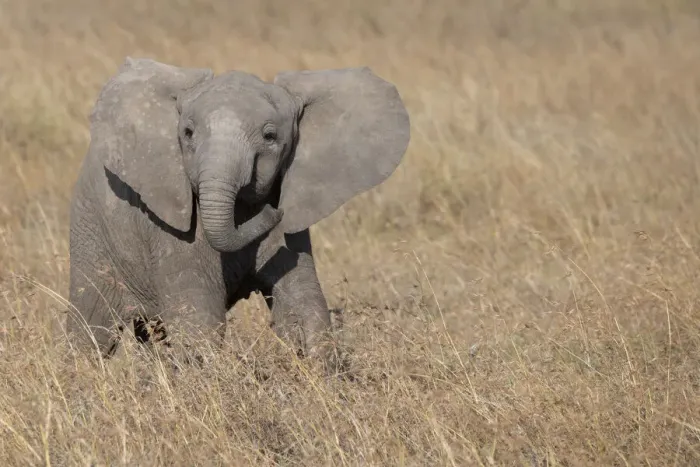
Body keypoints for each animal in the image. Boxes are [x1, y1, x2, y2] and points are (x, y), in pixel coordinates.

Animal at [66, 57, 410, 369]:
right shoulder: (170, 224)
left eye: (270, 137)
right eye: (188, 133)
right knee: (91, 328)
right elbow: (199, 314)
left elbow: (303, 302)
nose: (274, 209)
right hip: (92, 233)